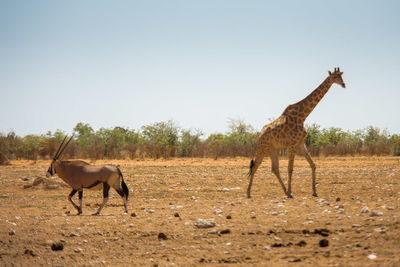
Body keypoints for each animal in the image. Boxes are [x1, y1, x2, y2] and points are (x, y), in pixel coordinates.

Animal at [245, 67, 346, 199]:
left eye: (341, 76)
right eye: (335, 77)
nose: (344, 84)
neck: (302, 116)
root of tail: (258, 137)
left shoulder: (300, 143)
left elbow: (313, 164)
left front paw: (314, 191)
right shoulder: (292, 144)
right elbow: (290, 168)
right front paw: (291, 192)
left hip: (273, 150)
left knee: (274, 169)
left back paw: (284, 192)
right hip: (263, 149)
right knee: (255, 166)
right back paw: (249, 193)